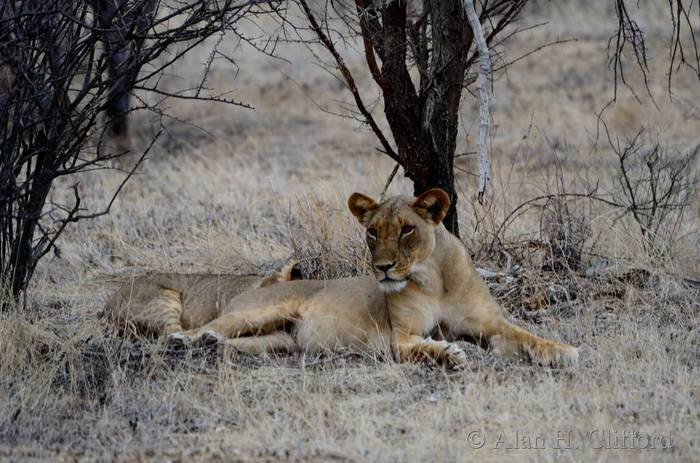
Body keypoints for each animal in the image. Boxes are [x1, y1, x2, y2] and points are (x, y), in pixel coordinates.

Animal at [165, 189, 579, 367]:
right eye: (372, 232)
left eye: (407, 230)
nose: (382, 267)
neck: (435, 280)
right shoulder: (398, 337)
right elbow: (424, 345)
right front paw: (449, 353)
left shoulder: (492, 325)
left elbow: (525, 335)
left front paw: (564, 351)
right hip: (256, 313)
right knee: (199, 328)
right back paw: (184, 340)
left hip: (279, 342)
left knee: (236, 340)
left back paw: (211, 344)